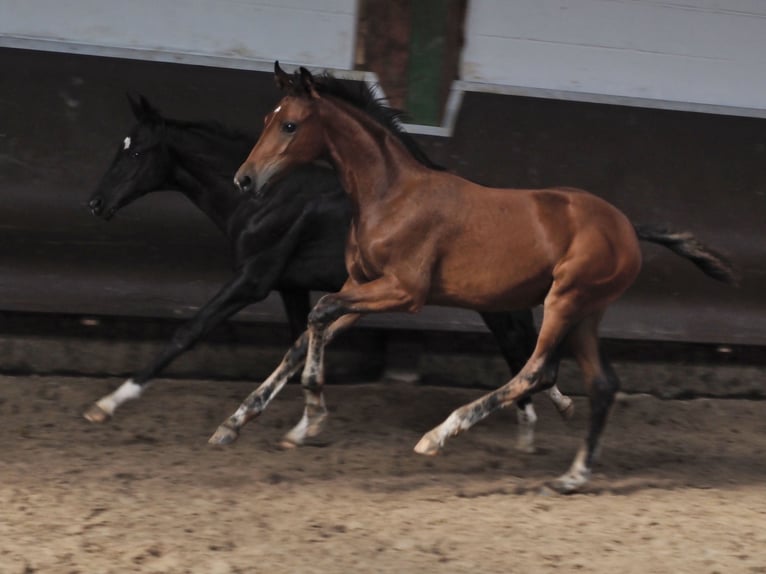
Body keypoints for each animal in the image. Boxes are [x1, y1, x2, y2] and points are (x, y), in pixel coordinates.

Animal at [87, 97, 572, 452]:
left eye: (136, 151)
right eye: (119, 147)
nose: (95, 203)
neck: (263, 200)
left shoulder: (253, 279)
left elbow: (187, 332)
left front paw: (109, 402)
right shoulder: (290, 286)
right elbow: (299, 343)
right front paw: (284, 421)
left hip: (495, 306)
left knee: (527, 351)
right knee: (525, 351)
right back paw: (539, 418)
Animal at [213, 63, 740, 496]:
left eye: (290, 124)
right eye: (268, 118)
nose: (244, 179)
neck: (390, 195)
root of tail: (629, 227)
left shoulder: (404, 292)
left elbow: (317, 316)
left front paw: (313, 413)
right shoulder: (359, 288)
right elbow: (307, 335)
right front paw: (239, 424)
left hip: (566, 299)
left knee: (537, 369)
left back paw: (439, 436)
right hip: (587, 311)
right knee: (602, 384)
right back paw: (571, 477)